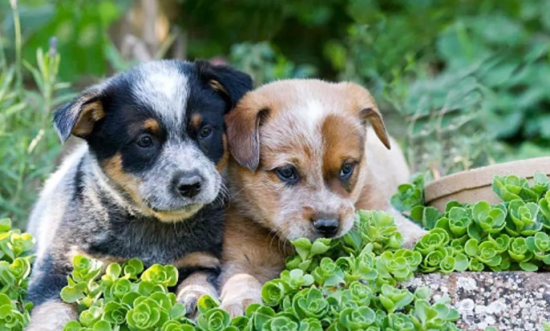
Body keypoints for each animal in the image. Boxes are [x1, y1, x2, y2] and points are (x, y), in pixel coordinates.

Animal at [24, 60, 252, 331]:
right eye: (145, 140)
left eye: (205, 130)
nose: (190, 184)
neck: (153, 232)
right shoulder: (59, 267)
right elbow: (51, 310)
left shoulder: (202, 258)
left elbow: (200, 280)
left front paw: (195, 298)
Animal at [220, 80, 426, 316]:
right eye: (287, 172)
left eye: (346, 168)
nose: (328, 226)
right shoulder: (241, 255)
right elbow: (241, 276)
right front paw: (240, 301)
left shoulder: (375, 202)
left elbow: (395, 223)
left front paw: (417, 238)